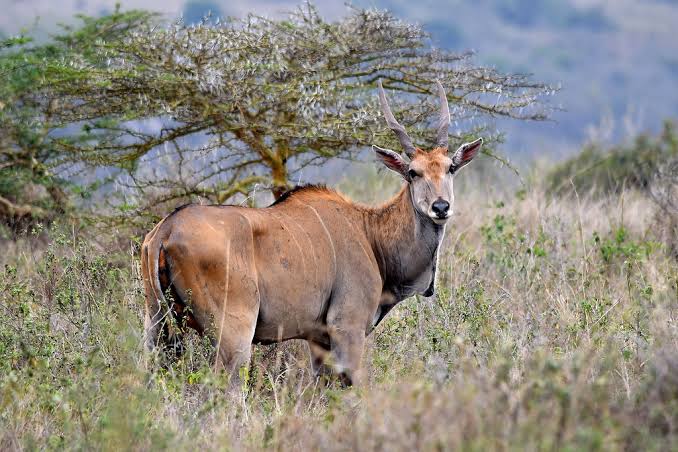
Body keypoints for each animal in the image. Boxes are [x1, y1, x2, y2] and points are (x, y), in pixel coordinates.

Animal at [141, 80, 483, 386]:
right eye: (413, 172)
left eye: (450, 168)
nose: (441, 206)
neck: (370, 233)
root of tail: (167, 229)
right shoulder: (347, 328)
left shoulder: (318, 339)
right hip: (233, 334)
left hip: (156, 323)